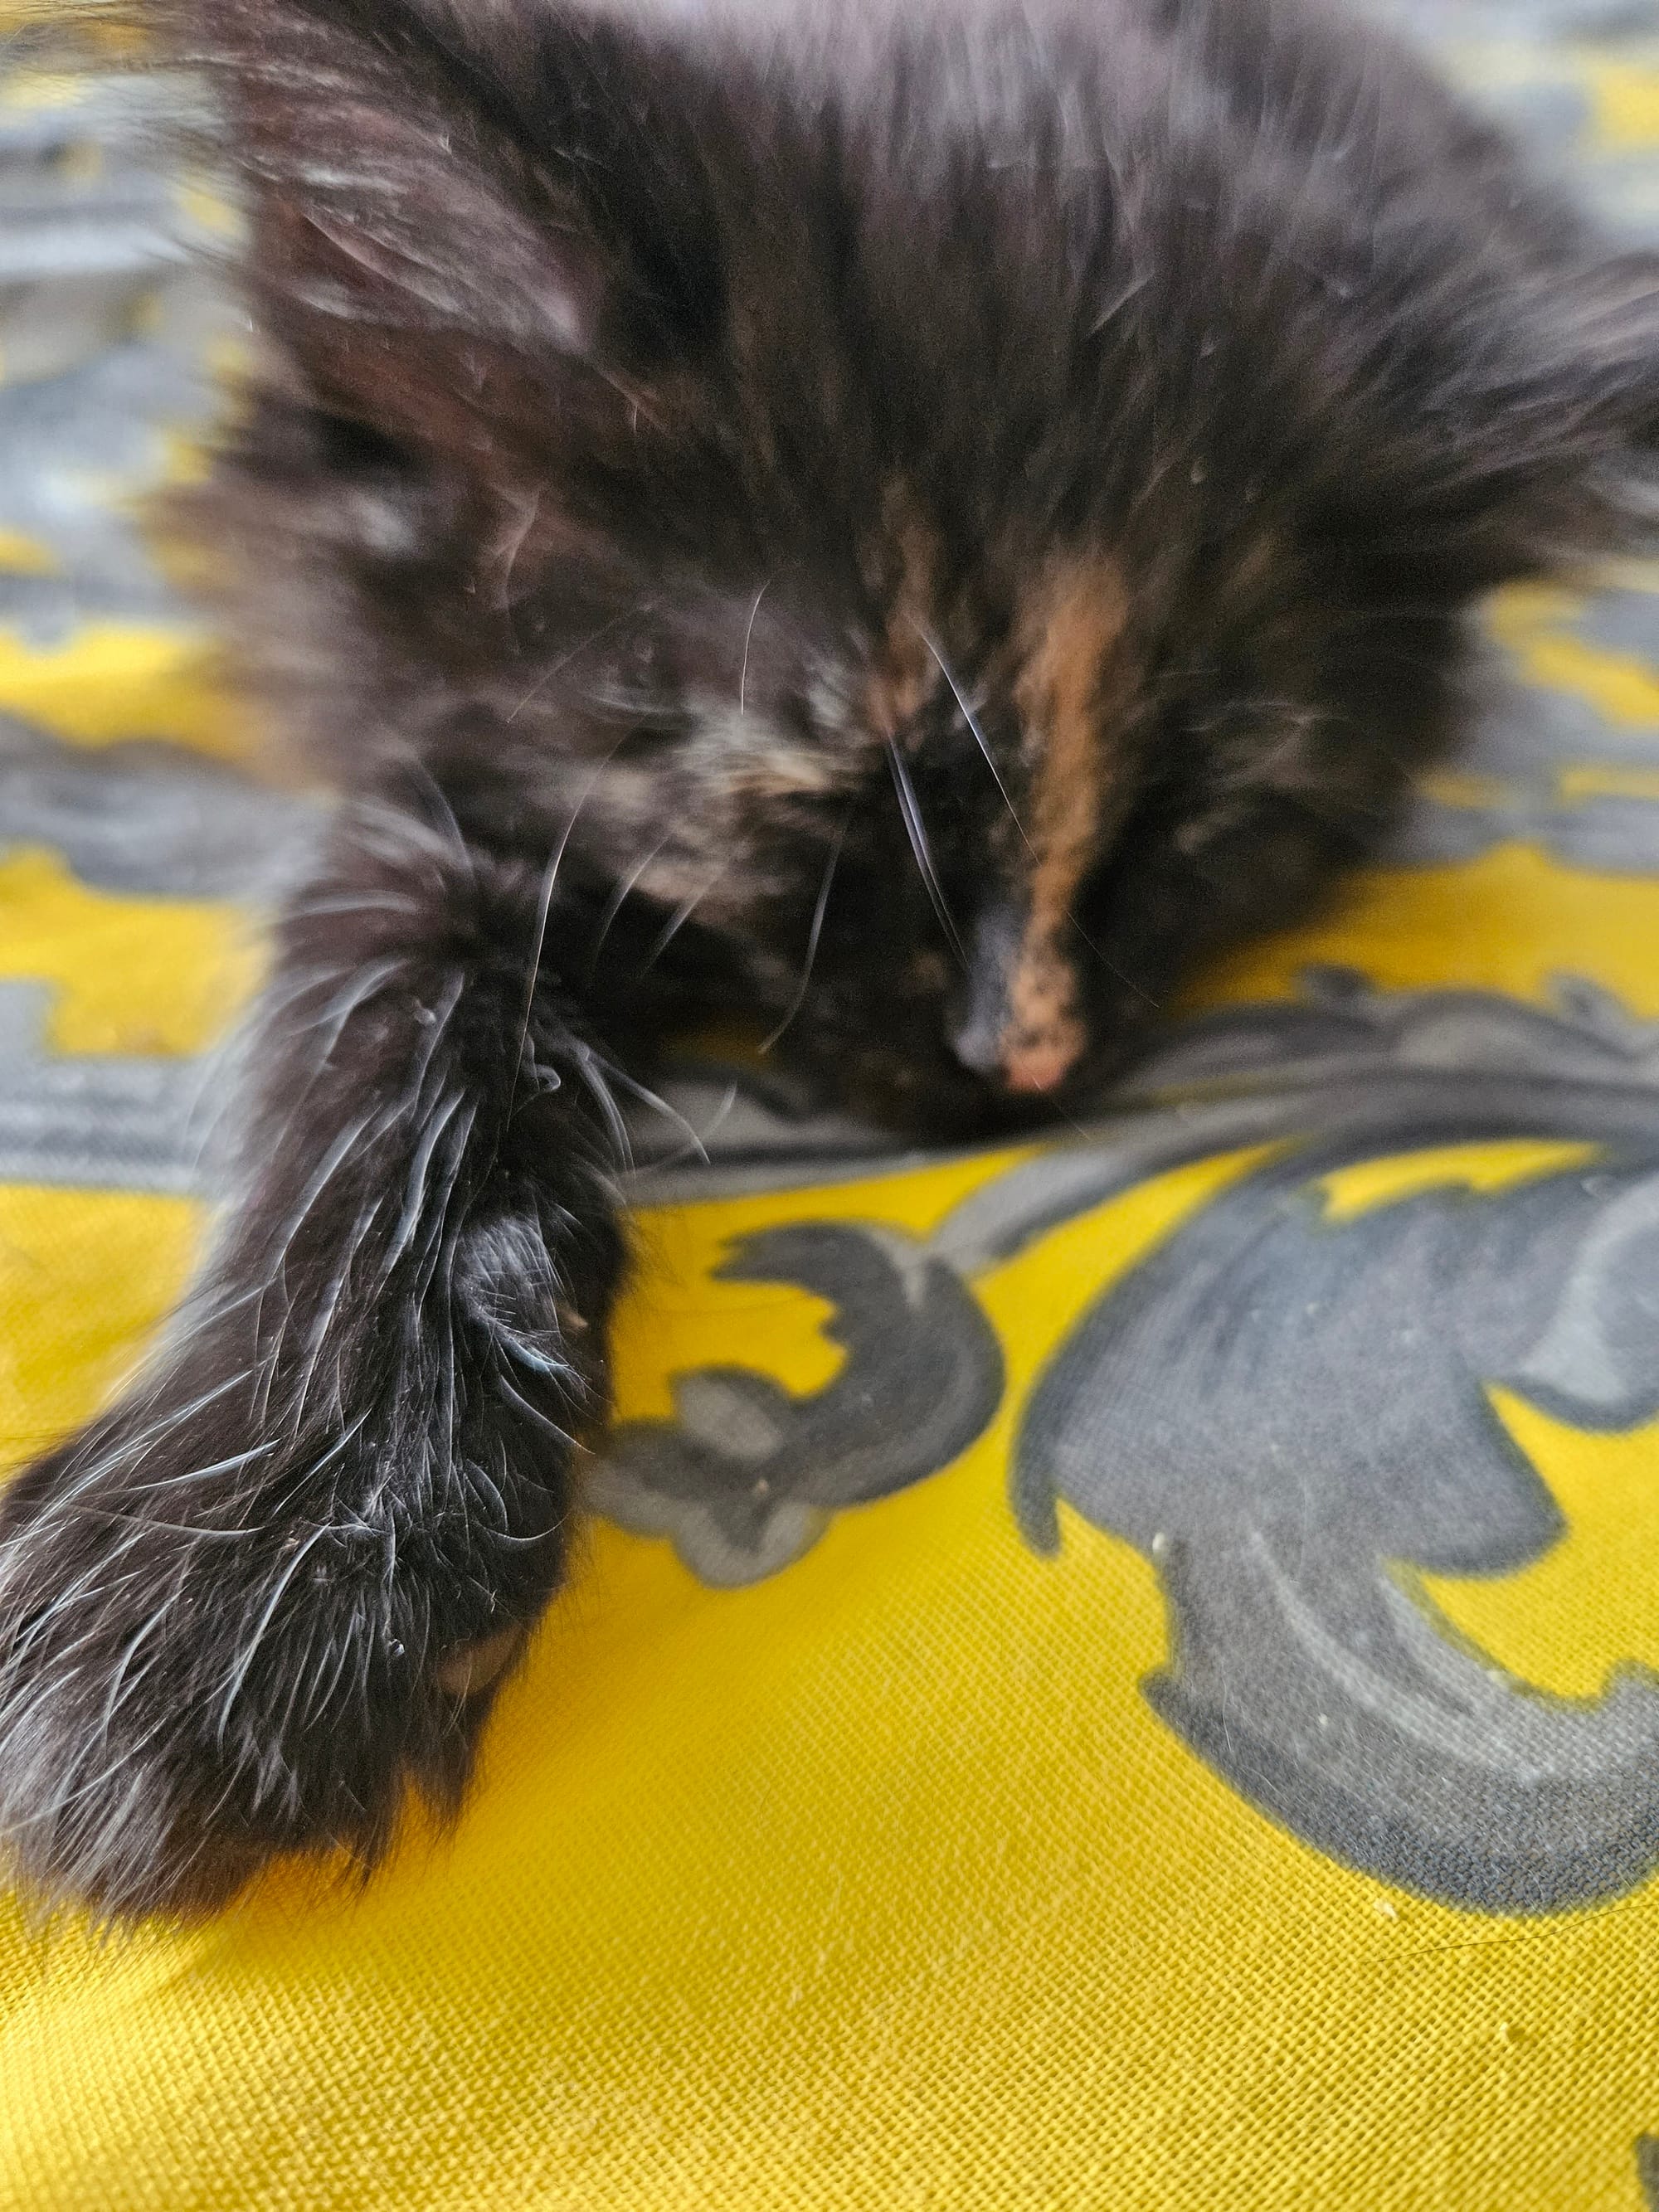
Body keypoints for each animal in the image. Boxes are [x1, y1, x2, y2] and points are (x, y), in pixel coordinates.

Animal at [0, 0, 1653, 1924]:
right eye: (837, 821)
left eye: (1203, 827)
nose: (1019, 1060)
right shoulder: (437, 779)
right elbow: (382, 1033)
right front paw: (270, 1560)